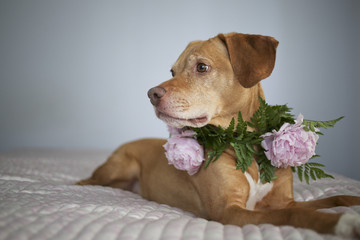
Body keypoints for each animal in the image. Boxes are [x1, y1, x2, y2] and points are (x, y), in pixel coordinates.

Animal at [78, 32, 360, 238]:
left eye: (202, 67)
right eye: (172, 72)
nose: (151, 94)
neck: (247, 145)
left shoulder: (284, 201)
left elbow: (335, 197)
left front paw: (353, 203)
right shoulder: (230, 211)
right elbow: (294, 216)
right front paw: (344, 222)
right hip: (118, 168)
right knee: (89, 181)